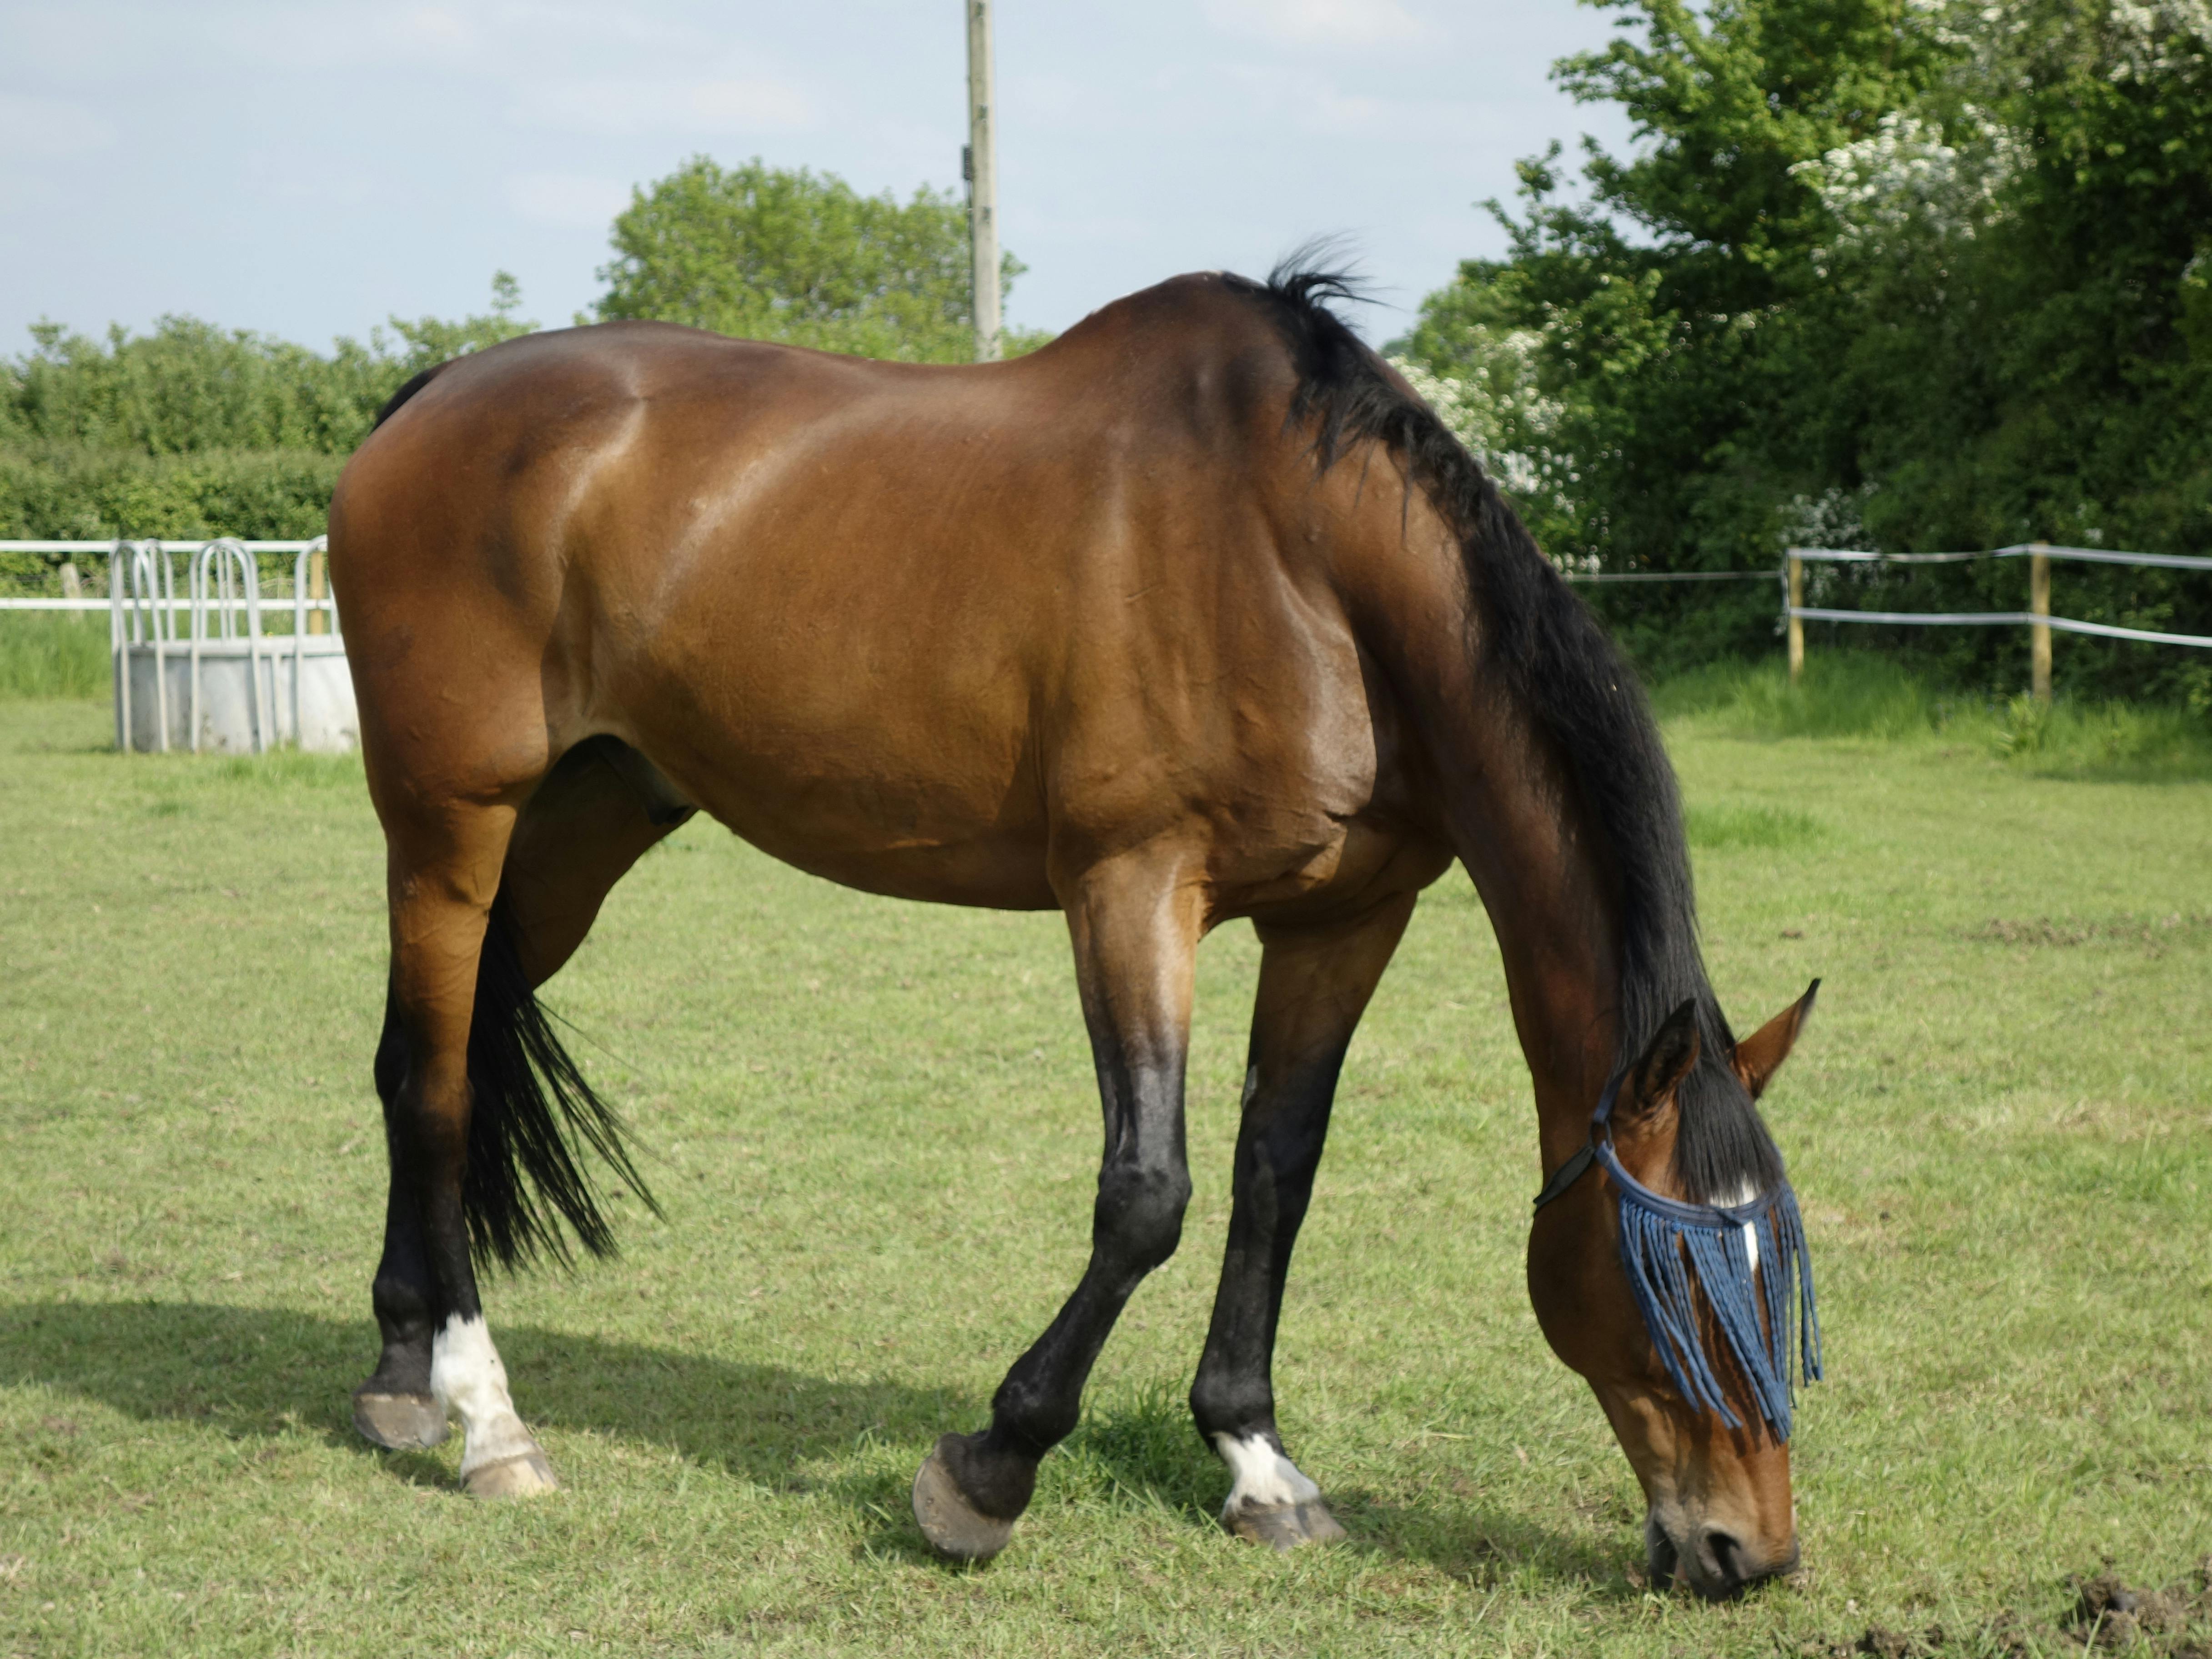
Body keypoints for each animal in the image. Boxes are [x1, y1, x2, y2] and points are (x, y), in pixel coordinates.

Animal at [328, 261, 1822, 1598]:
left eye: (1780, 1282)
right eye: (1671, 1283)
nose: (1741, 1552)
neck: (1300, 561)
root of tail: (431, 397)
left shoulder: (1344, 919)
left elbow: (1275, 1174)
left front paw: (1255, 1460)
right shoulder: (1132, 887)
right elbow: (1146, 1193)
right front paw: (987, 1470)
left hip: (579, 832)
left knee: (409, 1063)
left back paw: (399, 1374)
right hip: (451, 826)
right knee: (442, 1089)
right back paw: (487, 1422)